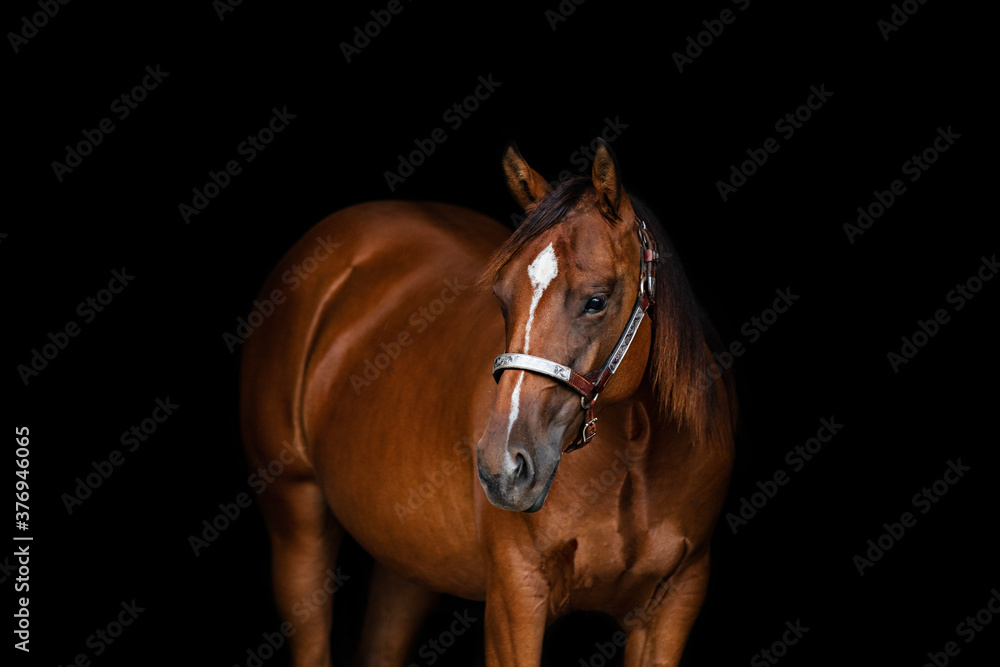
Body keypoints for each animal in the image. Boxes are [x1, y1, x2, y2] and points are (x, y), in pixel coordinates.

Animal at [240, 139, 737, 666]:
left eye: (597, 301)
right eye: (502, 298)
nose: (502, 468)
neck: (635, 457)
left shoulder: (675, 602)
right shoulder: (516, 597)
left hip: (408, 563)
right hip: (297, 523)